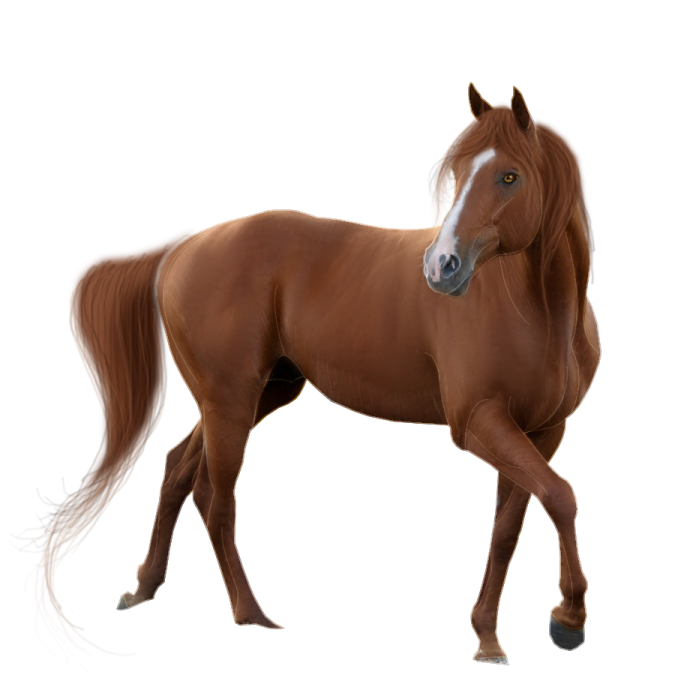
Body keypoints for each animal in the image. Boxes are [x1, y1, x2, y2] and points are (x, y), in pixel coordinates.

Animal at [17, 82, 599, 670]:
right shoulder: (480, 423)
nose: (441, 268)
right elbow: (562, 496)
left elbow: (511, 526)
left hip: (252, 396)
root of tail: (187, 245)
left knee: (178, 468)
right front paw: (567, 620)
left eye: (510, 176)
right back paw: (252, 615)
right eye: (455, 176)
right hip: (231, 401)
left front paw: (488, 639)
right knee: (217, 500)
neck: (538, 312)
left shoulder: (541, 432)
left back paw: (144, 588)